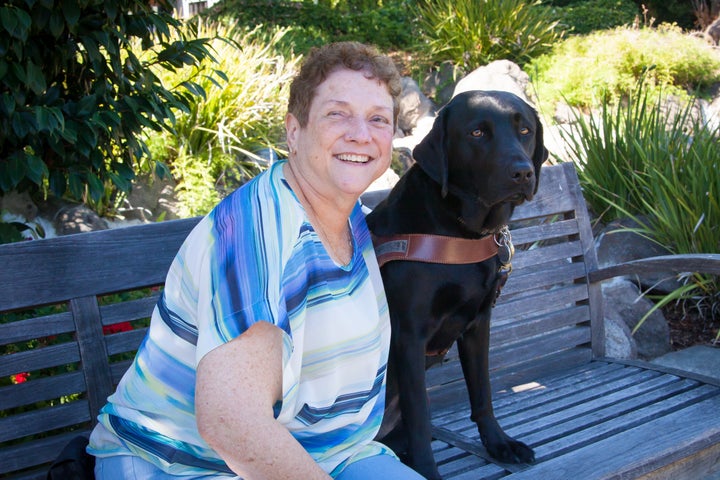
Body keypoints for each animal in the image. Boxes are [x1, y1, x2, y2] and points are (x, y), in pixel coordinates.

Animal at [372, 89, 544, 476]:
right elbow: (420, 420)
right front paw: (427, 470)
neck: (458, 230)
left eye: (525, 130)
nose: (522, 173)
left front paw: (499, 444)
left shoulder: (478, 323)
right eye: (477, 133)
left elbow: (482, 393)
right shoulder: (409, 336)